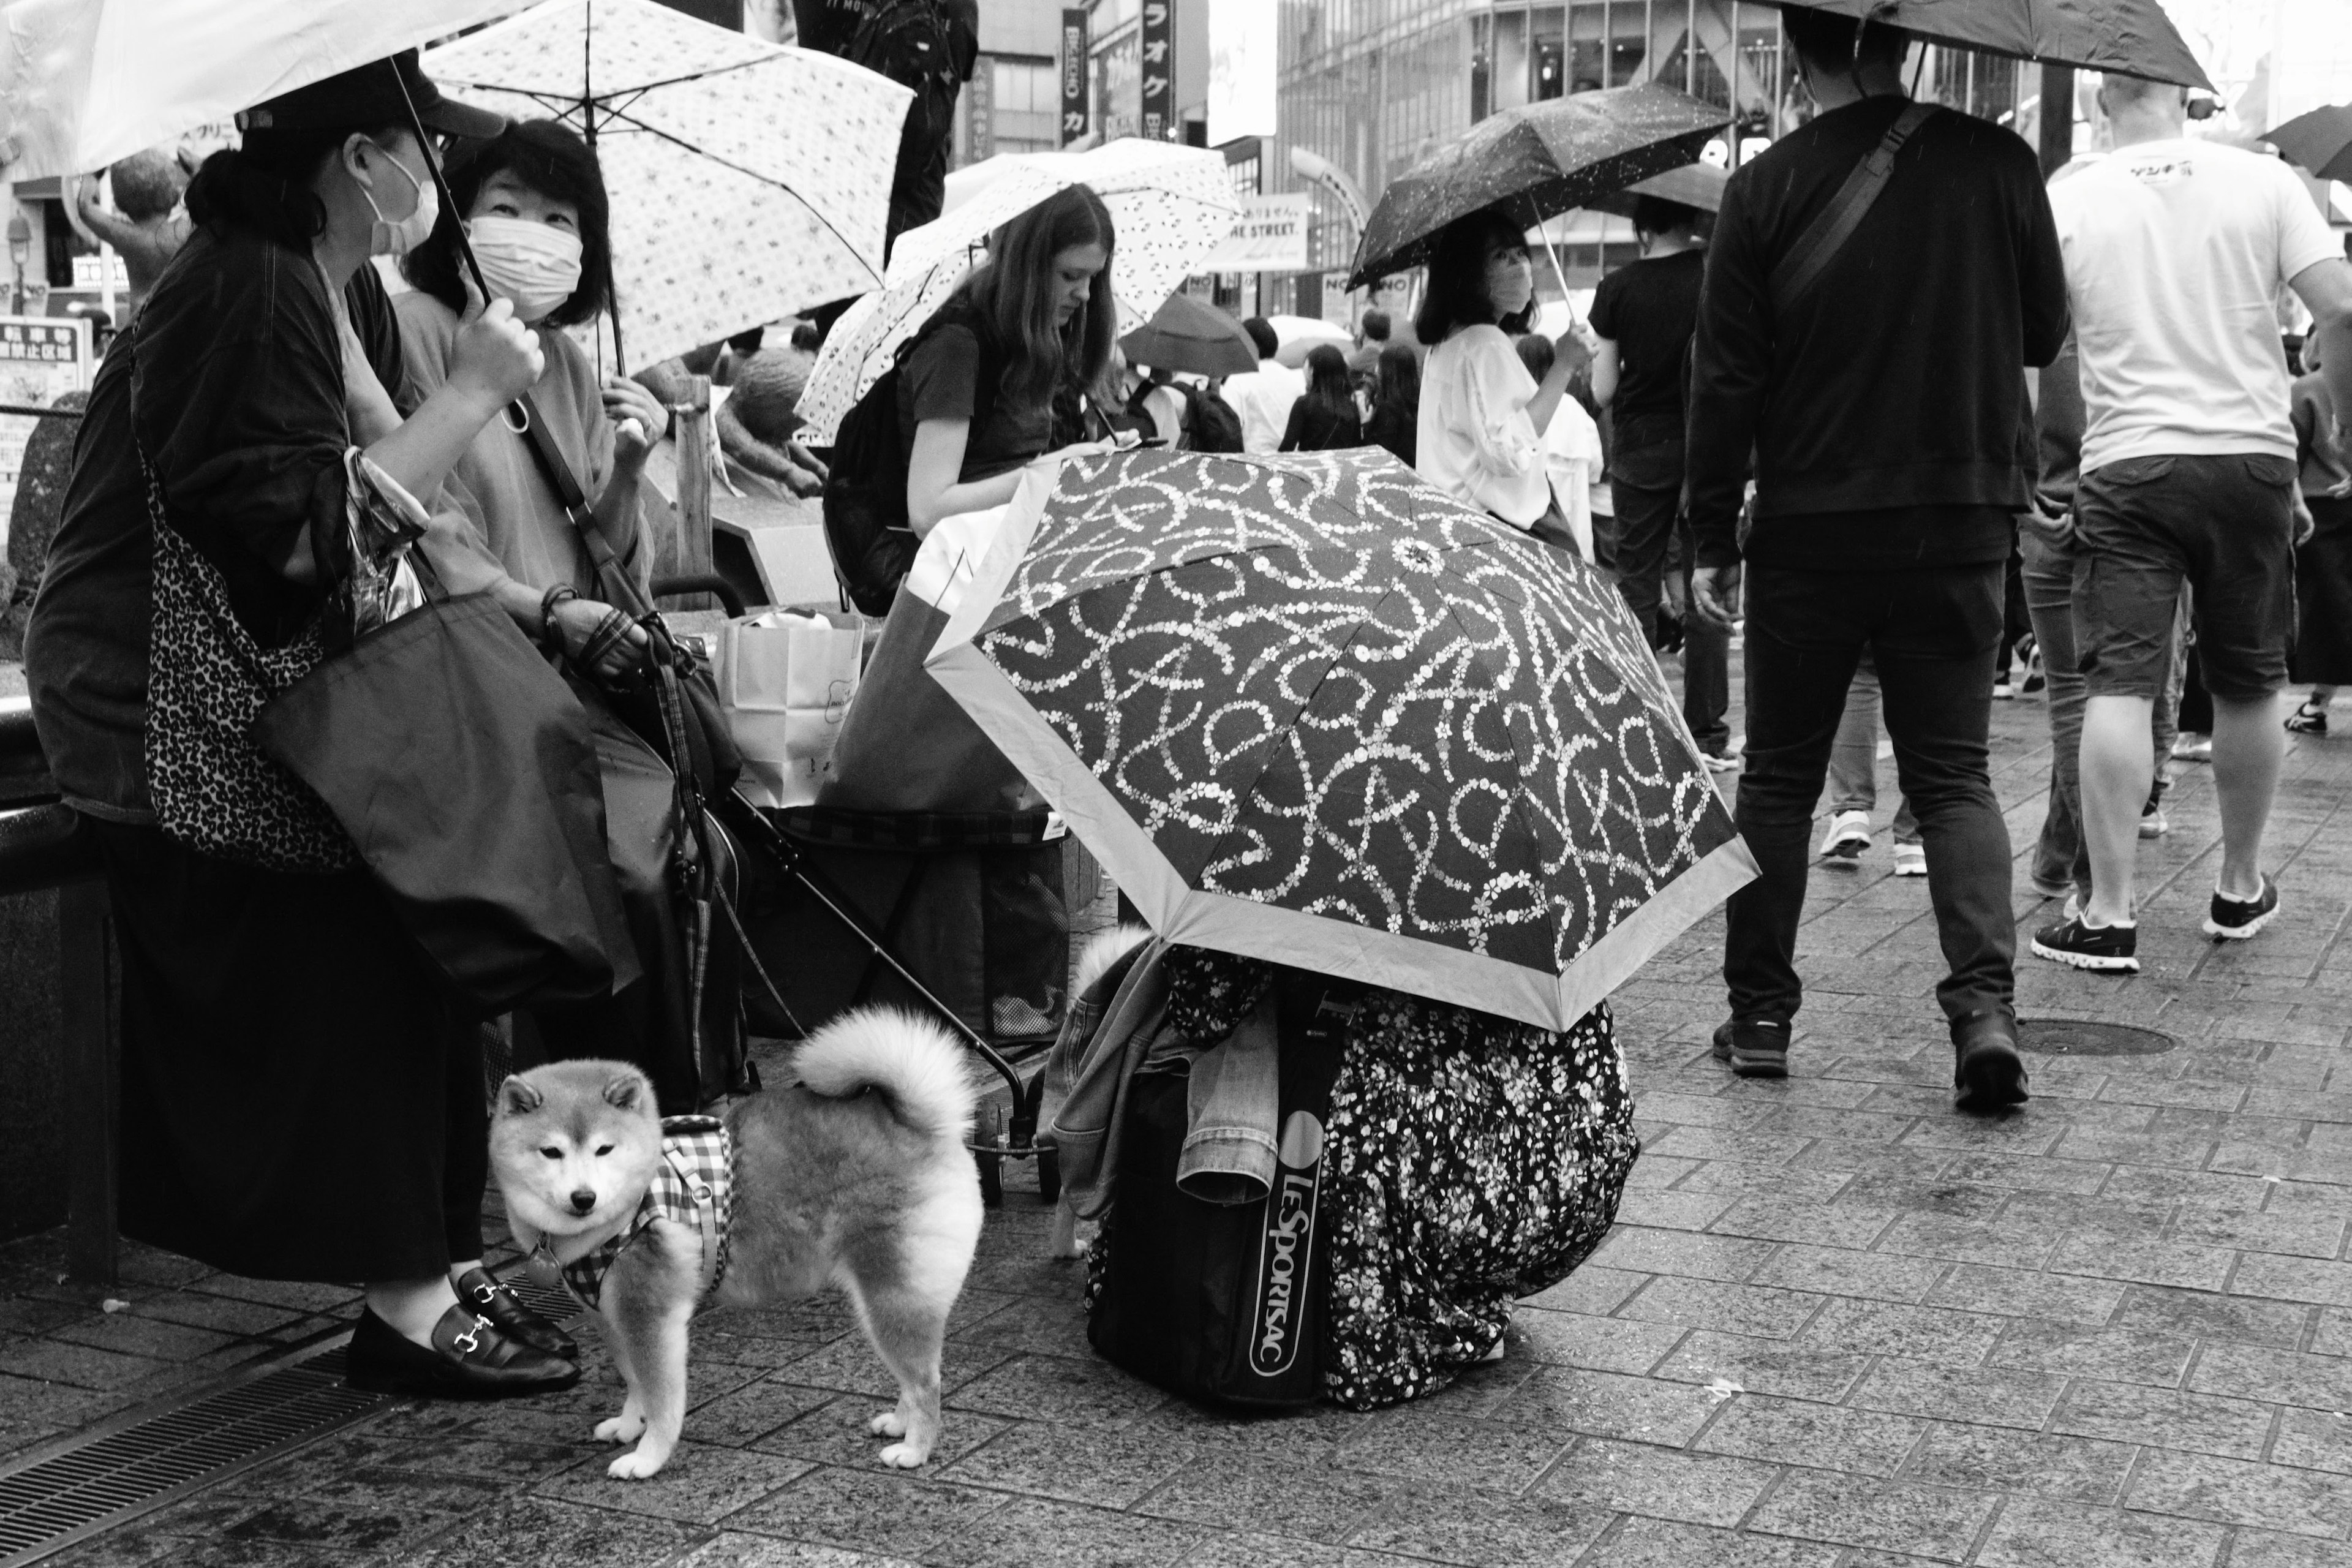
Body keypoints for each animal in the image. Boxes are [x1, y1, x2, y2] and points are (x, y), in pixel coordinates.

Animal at [491, 1011, 978, 1476]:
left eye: (604, 1150)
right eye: (551, 1152)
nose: (584, 1197)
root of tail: (920, 1126)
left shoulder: (651, 1318)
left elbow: (661, 1399)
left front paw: (647, 1459)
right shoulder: (610, 1318)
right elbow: (634, 1385)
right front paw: (629, 1426)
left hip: (891, 1293)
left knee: (926, 1381)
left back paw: (914, 1450)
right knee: (913, 1378)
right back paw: (900, 1424)